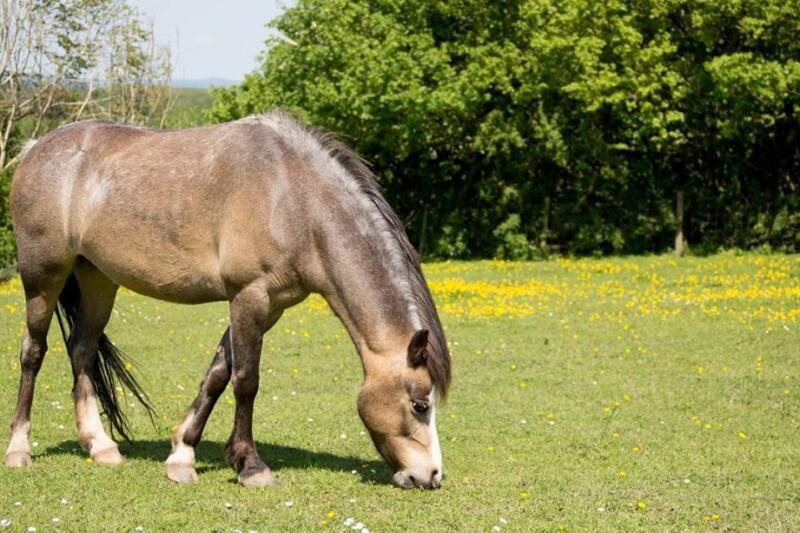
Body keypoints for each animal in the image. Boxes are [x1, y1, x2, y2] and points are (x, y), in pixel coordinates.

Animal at [5, 111, 451, 490]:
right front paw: (250, 466)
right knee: (34, 351)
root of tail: (35, 148)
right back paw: (18, 450)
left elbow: (218, 374)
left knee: (81, 348)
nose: (430, 476)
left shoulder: (269, 307)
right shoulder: (249, 295)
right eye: (419, 405)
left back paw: (100, 446)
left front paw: (182, 455)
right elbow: (246, 381)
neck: (293, 196)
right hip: (42, 279)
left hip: (97, 280)